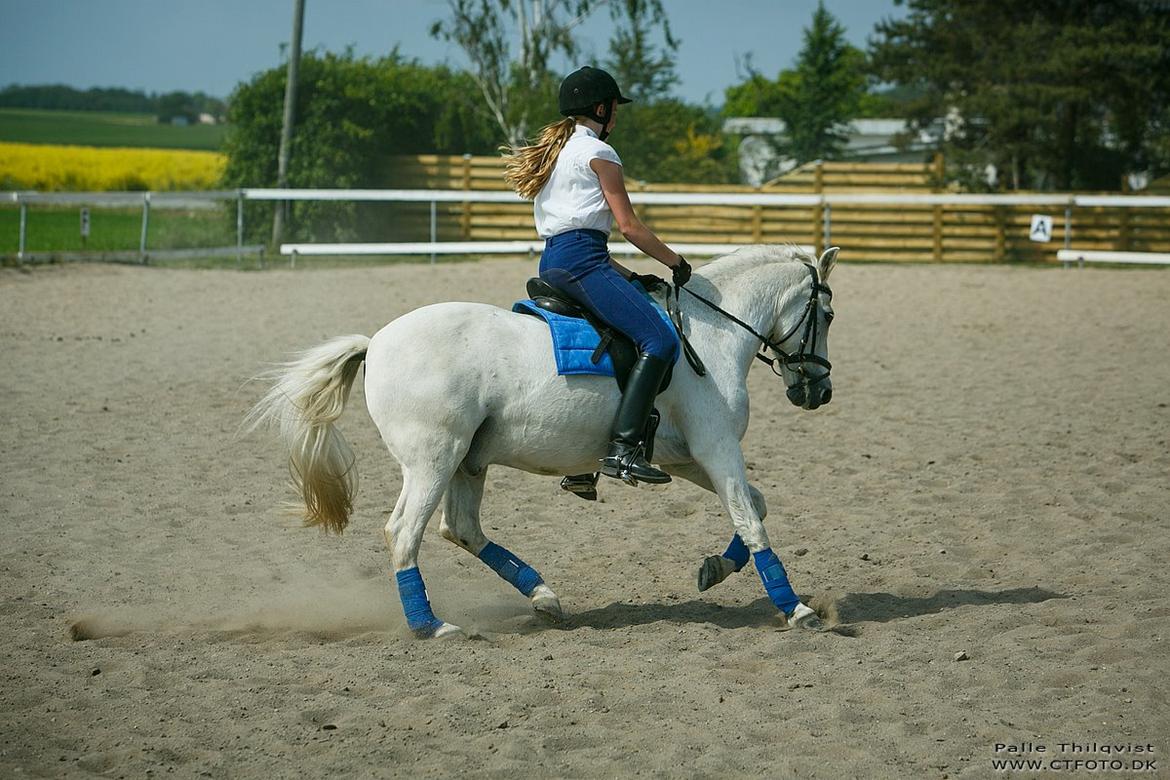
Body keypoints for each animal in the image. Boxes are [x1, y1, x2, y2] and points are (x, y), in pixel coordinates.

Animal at [249, 245, 833, 640]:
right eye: (825, 315)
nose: (818, 390)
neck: (709, 333)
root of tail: (375, 343)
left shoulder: (689, 457)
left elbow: (756, 504)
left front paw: (715, 569)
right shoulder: (716, 448)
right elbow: (750, 518)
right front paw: (797, 609)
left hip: (468, 461)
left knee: (460, 529)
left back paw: (544, 597)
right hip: (434, 460)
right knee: (404, 532)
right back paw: (431, 625)